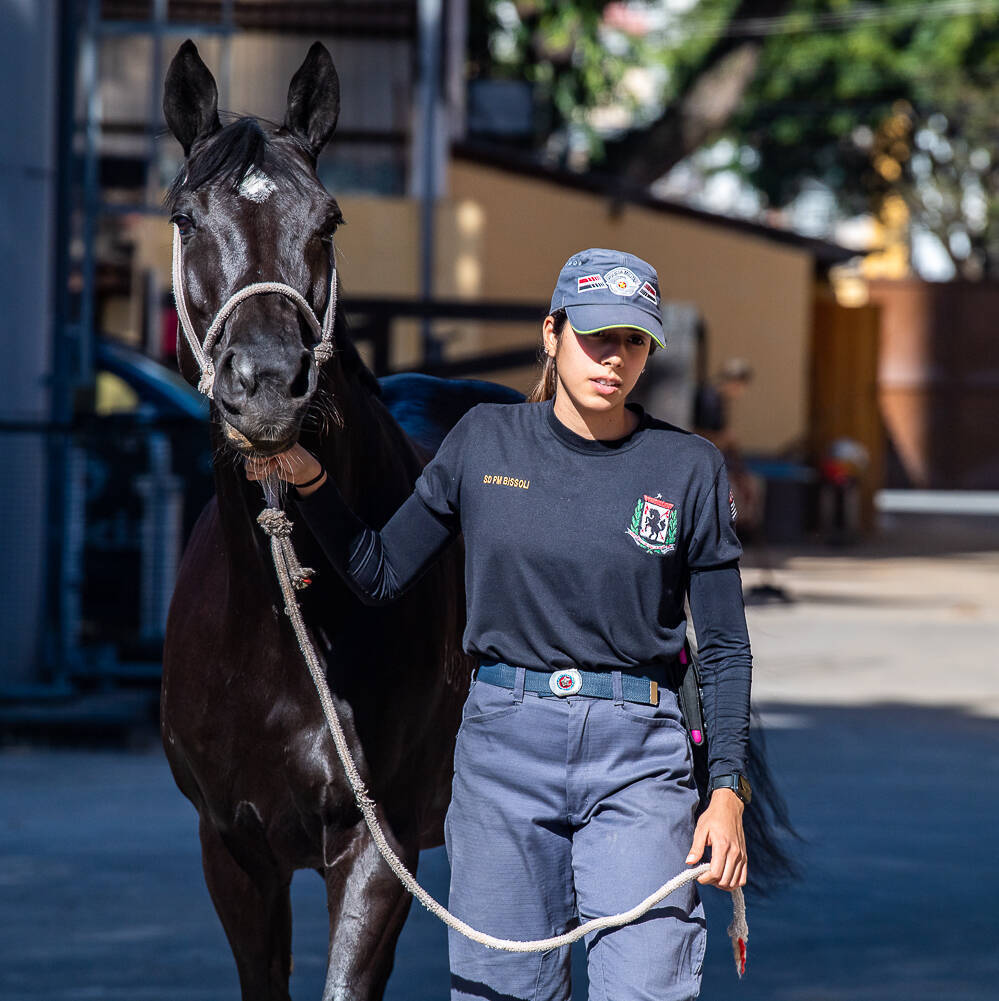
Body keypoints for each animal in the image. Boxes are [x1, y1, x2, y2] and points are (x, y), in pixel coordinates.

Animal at [160, 41, 520, 1001]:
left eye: (328, 221)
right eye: (184, 218)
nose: (267, 384)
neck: (282, 625)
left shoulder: (373, 842)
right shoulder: (232, 847)